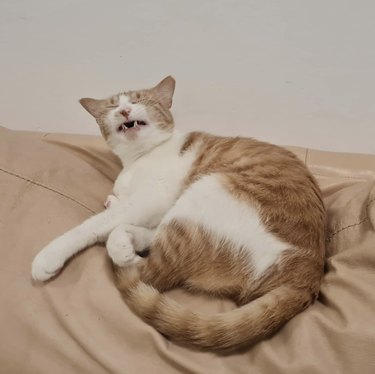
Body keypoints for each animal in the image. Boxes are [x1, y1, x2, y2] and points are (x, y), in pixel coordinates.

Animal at [31, 76, 326, 354]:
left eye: (139, 100)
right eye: (113, 106)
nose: (125, 110)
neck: (136, 159)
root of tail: (307, 279)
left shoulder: (150, 198)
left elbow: (91, 226)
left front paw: (49, 256)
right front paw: (113, 204)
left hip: (205, 192)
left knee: (151, 272)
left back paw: (122, 249)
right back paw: (124, 240)